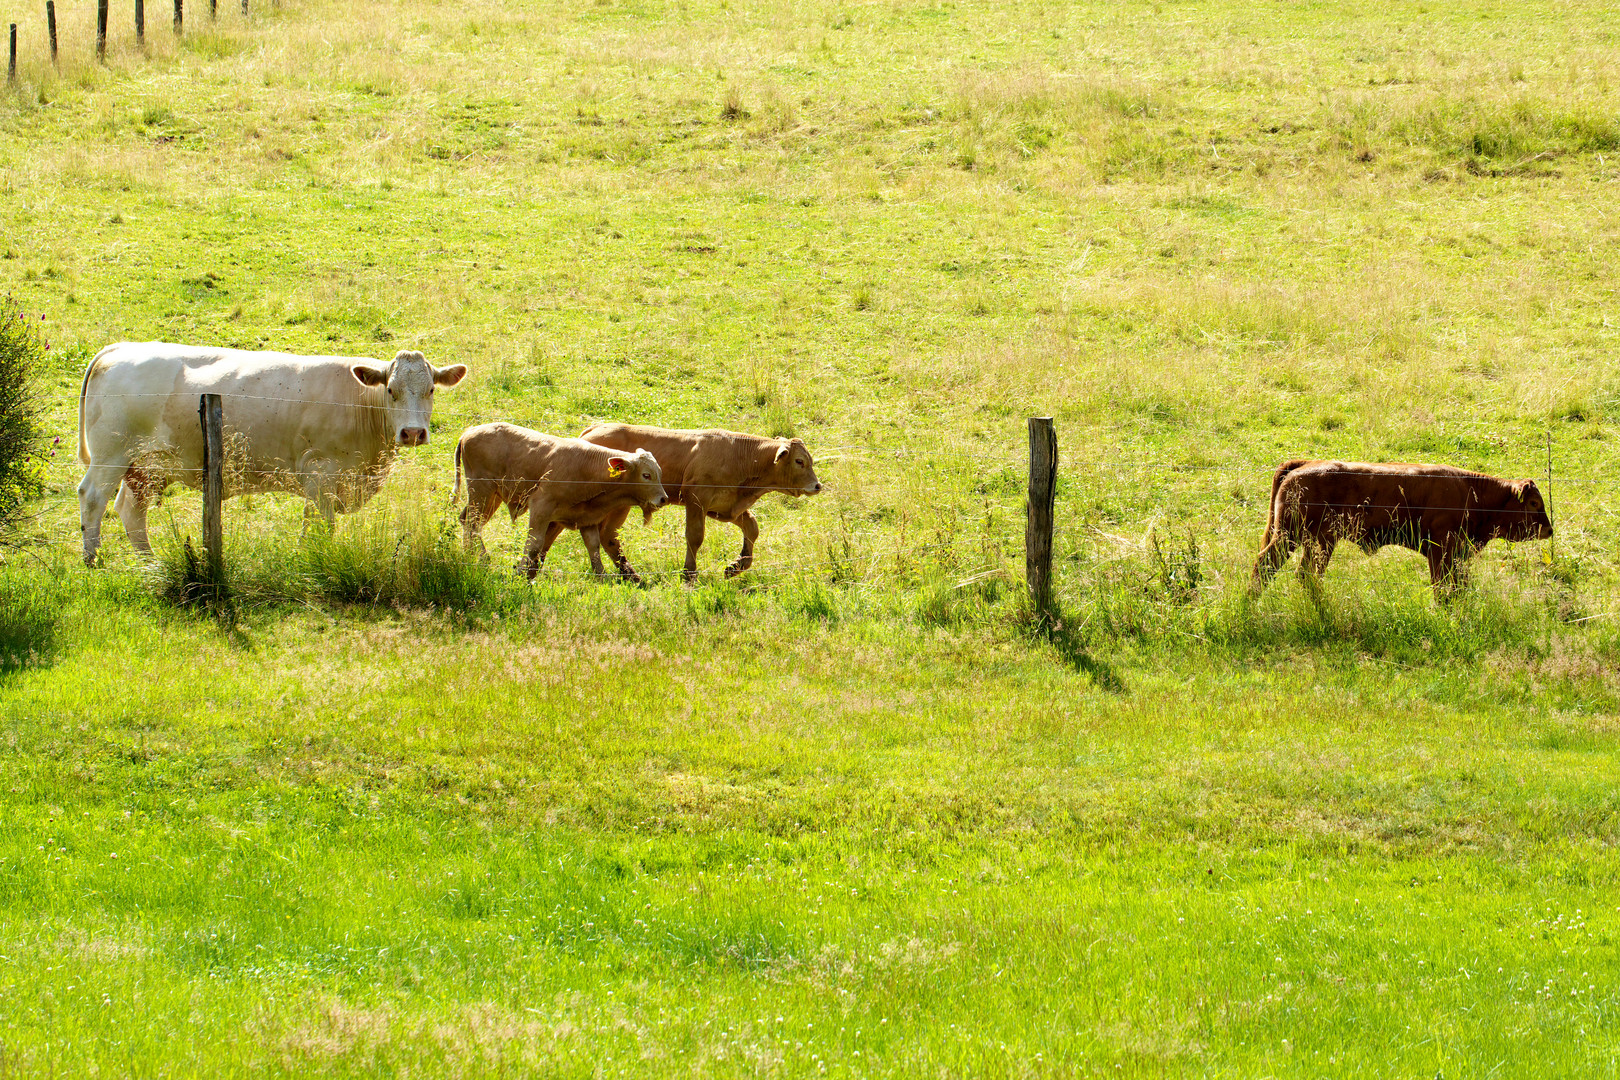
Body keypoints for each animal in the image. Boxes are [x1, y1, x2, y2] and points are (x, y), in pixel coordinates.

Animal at [78, 344, 469, 566]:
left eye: (431, 389)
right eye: (390, 390)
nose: (413, 432)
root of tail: (119, 348)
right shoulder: (320, 474)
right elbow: (321, 526)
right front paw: (315, 559)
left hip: (148, 465)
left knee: (131, 510)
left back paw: (149, 564)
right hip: (112, 453)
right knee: (93, 498)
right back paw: (93, 559)